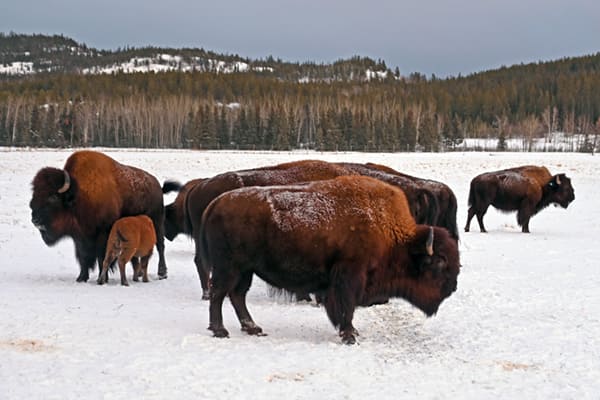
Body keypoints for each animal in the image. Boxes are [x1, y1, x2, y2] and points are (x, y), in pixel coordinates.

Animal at [29, 151, 168, 282]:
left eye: (52, 197)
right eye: (35, 193)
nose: (35, 219)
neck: (80, 195)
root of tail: (156, 185)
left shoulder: (104, 232)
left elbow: (102, 256)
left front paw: (102, 278)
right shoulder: (80, 237)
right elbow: (83, 257)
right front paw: (81, 278)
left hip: (157, 222)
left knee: (160, 245)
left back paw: (162, 273)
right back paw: (139, 273)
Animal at [199, 175, 462, 344]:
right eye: (439, 261)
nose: (453, 287)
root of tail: (215, 204)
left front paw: (351, 332)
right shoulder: (349, 276)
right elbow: (347, 307)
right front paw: (349, 335)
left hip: (246, 269)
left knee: (237, 295)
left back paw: (252, 328)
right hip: (229, 267)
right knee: (219, 293)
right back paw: (220, 331)